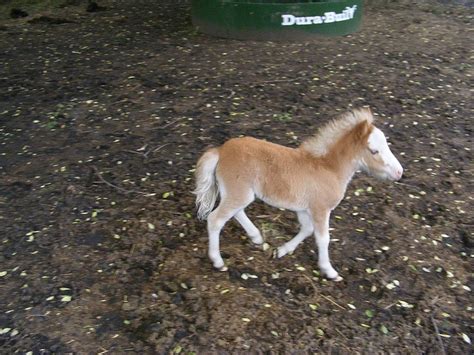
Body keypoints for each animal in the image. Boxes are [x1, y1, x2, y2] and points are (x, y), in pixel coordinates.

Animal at [194, 108, 402, 280]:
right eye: (373, 150)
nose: (399, 172)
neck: (329, 168)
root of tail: (221, 150)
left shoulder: (304, 208)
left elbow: (307, 229)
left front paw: (282, 250)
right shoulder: (320, 208)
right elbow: (323, 238)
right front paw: (329, 271)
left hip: (241, 193)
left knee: (237, 212)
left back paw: (256, 237)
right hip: (239, 192)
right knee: (215, 219)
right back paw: (218, 261)